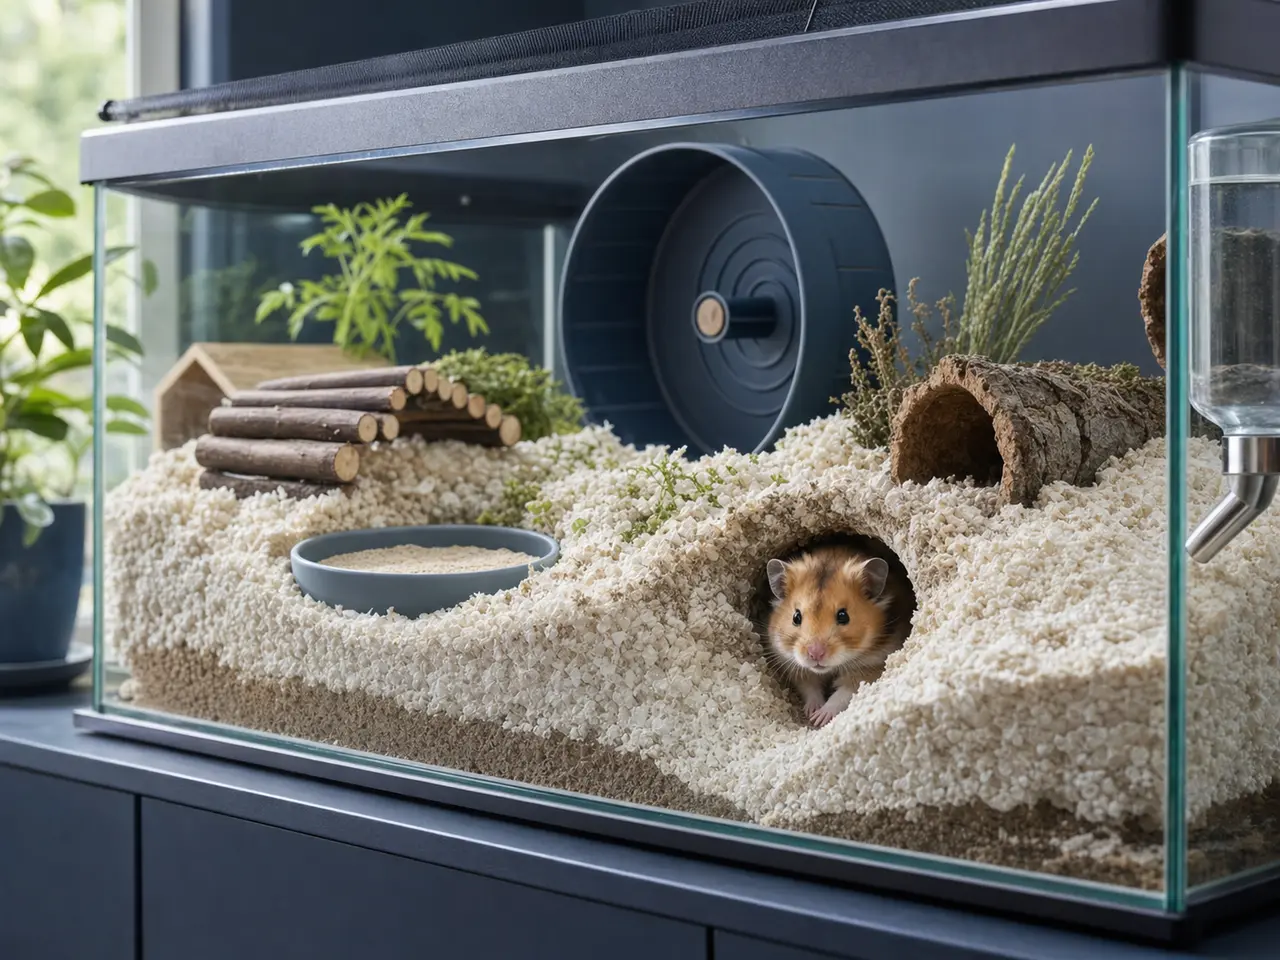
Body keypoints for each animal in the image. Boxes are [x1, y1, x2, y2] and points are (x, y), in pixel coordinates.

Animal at [765, 544, 913, 728]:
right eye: (796, 617)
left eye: (843, 616)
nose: (815, 654)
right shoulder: (793, 664)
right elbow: (810, 687)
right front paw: (812, 712)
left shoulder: (872, 667)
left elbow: (844, 693)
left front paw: (819, 718)